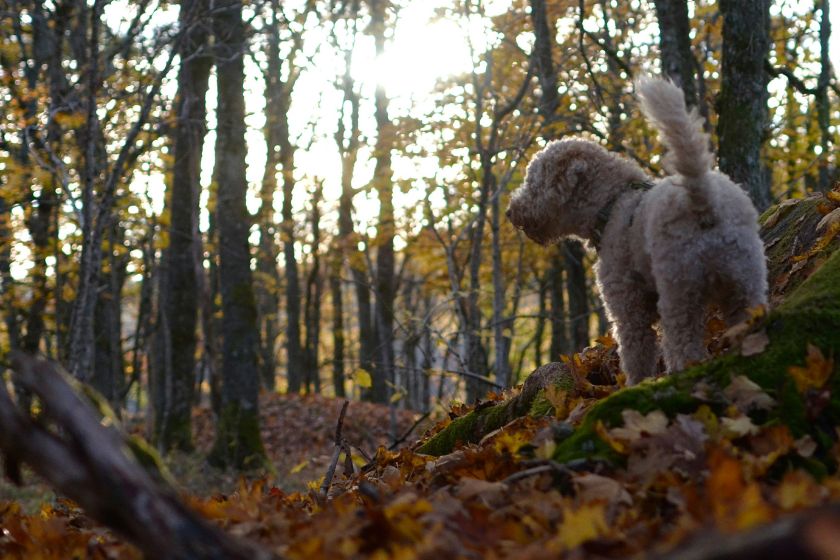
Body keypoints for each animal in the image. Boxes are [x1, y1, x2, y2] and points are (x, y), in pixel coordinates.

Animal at [506, 77, 768, 384]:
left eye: (533, 181)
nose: (510, 211)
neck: (613, 203)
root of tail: (704, 200)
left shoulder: (628, 307)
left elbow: (636, 354)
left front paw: (635, 383)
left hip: (680, 291)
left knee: (683, 345)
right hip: (746, 282)